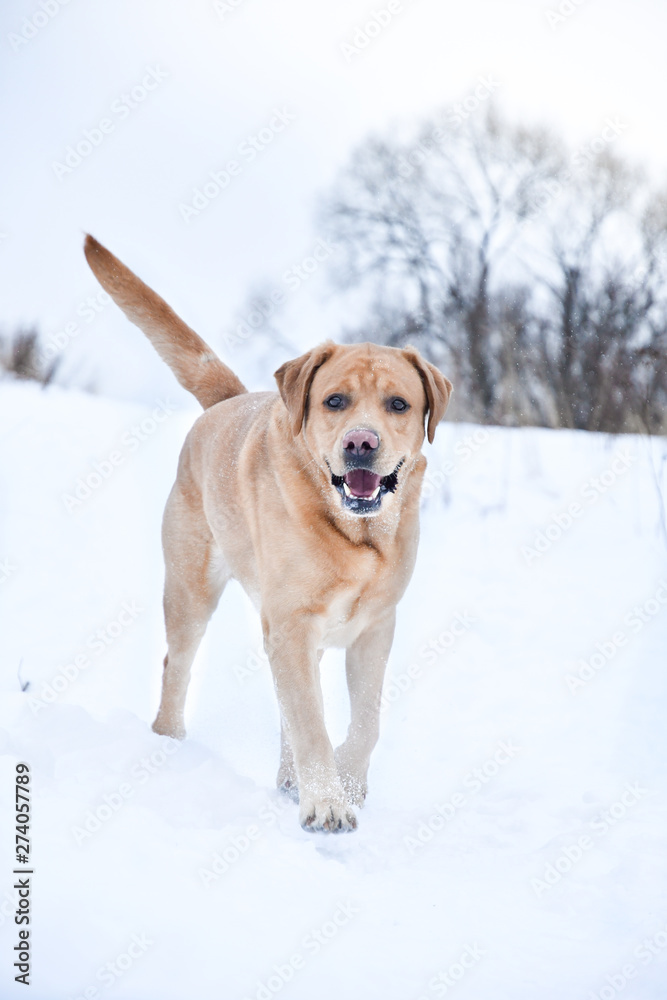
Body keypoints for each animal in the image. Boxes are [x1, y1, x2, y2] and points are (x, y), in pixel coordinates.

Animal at [84, 235, 452, 832]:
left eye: (398, 404)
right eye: (334, 401)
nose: (361, 443)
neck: (355, 535)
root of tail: (227, 399)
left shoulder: (374, 628)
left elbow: (365, 722)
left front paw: (348, 783)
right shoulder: (293, 624)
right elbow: (310, 723)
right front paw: (327, 802)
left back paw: (287, 777)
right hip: (191, 590)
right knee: (176, 666)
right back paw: (169, 744)